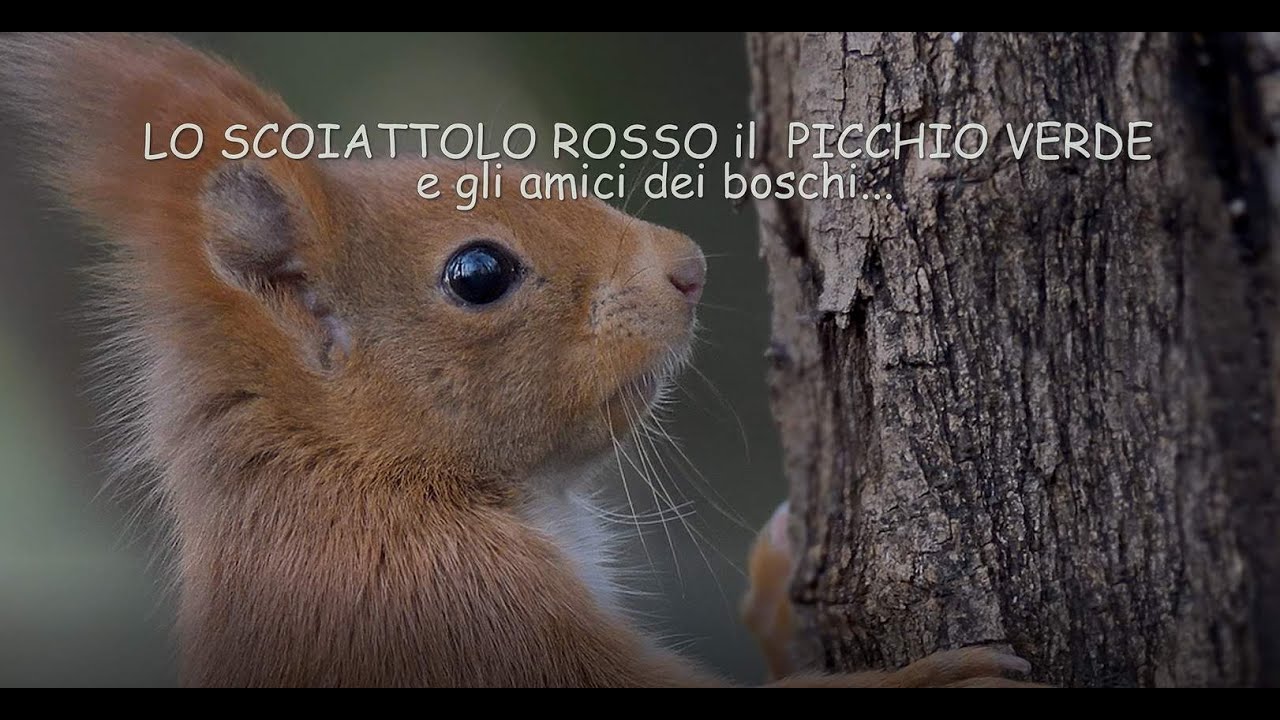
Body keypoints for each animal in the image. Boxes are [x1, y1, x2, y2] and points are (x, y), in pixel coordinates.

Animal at [0, 33, 1035, 687]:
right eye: (479, 273)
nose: (689, 268)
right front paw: (923, 681)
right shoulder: (445, 609)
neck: (350, 474)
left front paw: (778, 599)